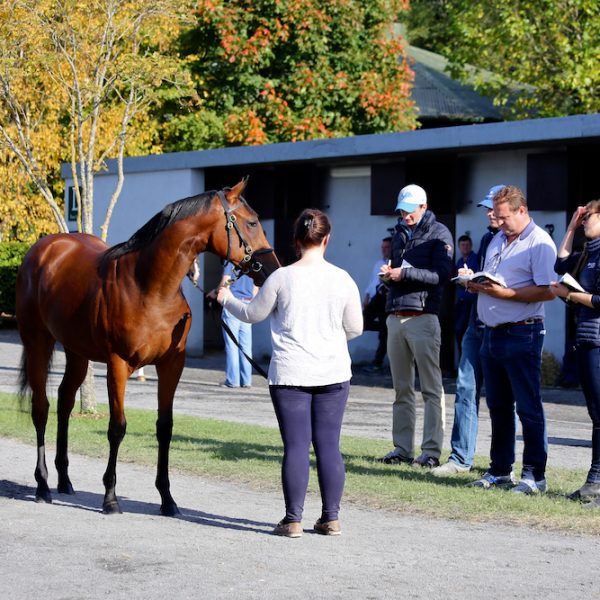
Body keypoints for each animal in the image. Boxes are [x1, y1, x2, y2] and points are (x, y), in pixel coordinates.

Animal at [15, 178, 280, 516]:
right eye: (252, 222)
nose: (272, 268)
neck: (149, 287)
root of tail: (44, 248)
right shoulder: (117, 364)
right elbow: (117, 428)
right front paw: (110, 498)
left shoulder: (171, 365)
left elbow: (165, 427)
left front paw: (167, 499)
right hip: (38, 342)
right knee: (42, 408)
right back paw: (43, 485)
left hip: (77, 352)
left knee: (64, 401)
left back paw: (64, 480)